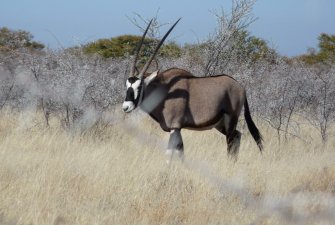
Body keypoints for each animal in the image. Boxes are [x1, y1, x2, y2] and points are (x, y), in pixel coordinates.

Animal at [122, 18, 264, 163]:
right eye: (127, 85)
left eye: (139, 86)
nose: (126, 107)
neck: (164, 90)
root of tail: (240, 87)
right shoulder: (178, 129)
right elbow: (180, 152)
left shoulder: (174, 127)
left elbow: (169, 154)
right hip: (220, 124)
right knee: (237, 136)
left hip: (231, 120)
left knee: (231, 142)